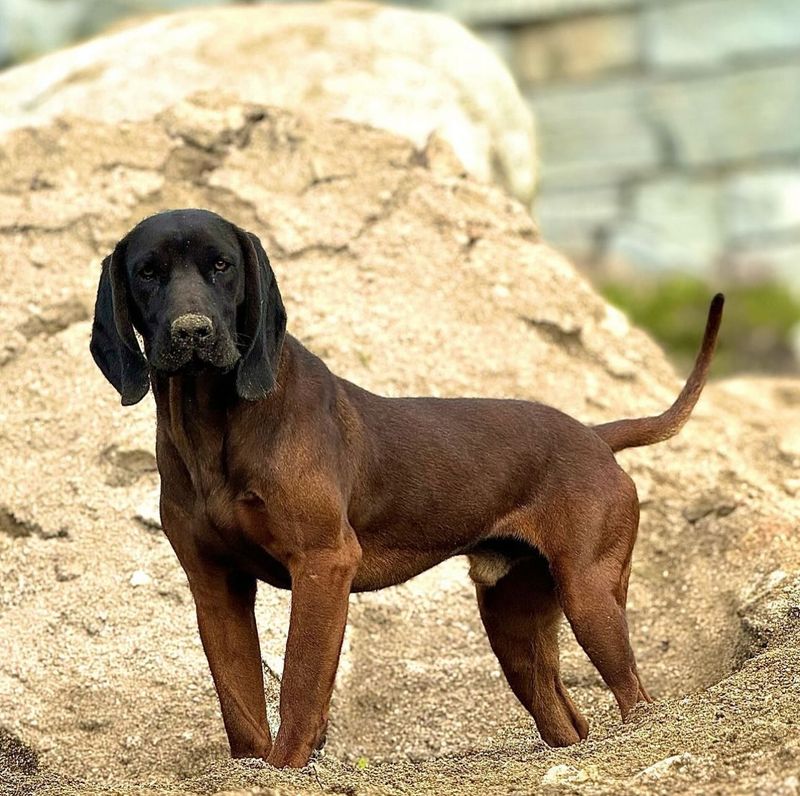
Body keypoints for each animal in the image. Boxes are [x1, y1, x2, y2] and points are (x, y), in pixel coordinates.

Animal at [89, 208, 724, 768]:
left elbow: (299, 685)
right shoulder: (215, 584)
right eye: (147, 272)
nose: (191, 332)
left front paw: (287, 765)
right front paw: (251, 770)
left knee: (637, 699)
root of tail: (595, 436)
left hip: (589, 595)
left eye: (222, 265)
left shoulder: (323, 564)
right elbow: (239, 704)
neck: (213, 425)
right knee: (570, 721)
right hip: (514, 620)